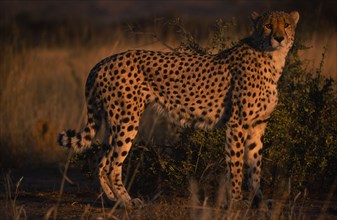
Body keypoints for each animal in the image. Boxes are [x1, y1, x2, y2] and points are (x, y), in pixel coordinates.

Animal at [57, 11, 300, 208]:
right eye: (268, 25)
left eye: (286, 24)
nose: (279, 37)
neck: (271, 57)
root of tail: (104, 61)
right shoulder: (237, 125)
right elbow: (237, 166)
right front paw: (236, 202)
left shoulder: (257, 126)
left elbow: (255, 166)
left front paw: (259, 200)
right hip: (127, 121)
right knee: (112, 164)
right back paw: (126, 202)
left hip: (113, 121)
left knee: (100, 162)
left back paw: (112, 200)